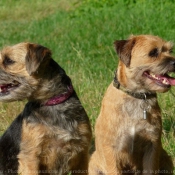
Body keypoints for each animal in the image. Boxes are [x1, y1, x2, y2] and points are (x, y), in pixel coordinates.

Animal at [89, 34, 174, 174]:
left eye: (170, 51)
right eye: (153, 52)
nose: (174, 62)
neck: (136, 96)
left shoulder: (153, 145)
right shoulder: (111, 149)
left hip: (166, 158)